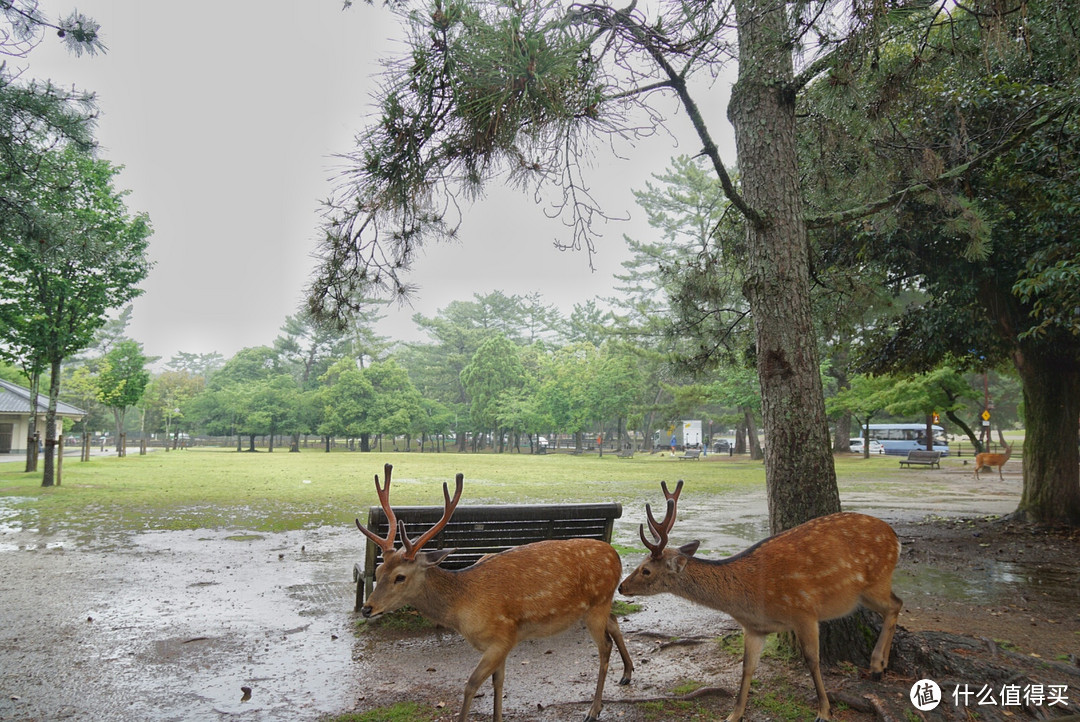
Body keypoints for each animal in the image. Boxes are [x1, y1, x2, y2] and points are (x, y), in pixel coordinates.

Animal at [354, 464, 630, 716]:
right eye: (379, 571)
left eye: (400, 577)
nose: (367, 609)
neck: (463, 607)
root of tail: (616, 556)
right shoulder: (503, 643)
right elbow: (499, 683)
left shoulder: (501, 638)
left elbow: (471, 685)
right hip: (597, 606)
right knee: (614, 622)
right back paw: (626, 674)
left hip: (598, 604)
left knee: (605, 646)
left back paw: (594, 708)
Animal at [617, 479, 902, 720]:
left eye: (645, 570)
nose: (621, 586)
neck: (750, 598)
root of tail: (896, 538)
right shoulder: (754, 628)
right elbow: (747, 668)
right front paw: (734, 715)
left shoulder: (804, 611)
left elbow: (812, 660)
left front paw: (824, 711)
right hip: (867, 592)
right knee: (896, 604)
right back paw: (881, 666)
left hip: (875, 581)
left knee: (896, 604)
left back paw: (876, 666)